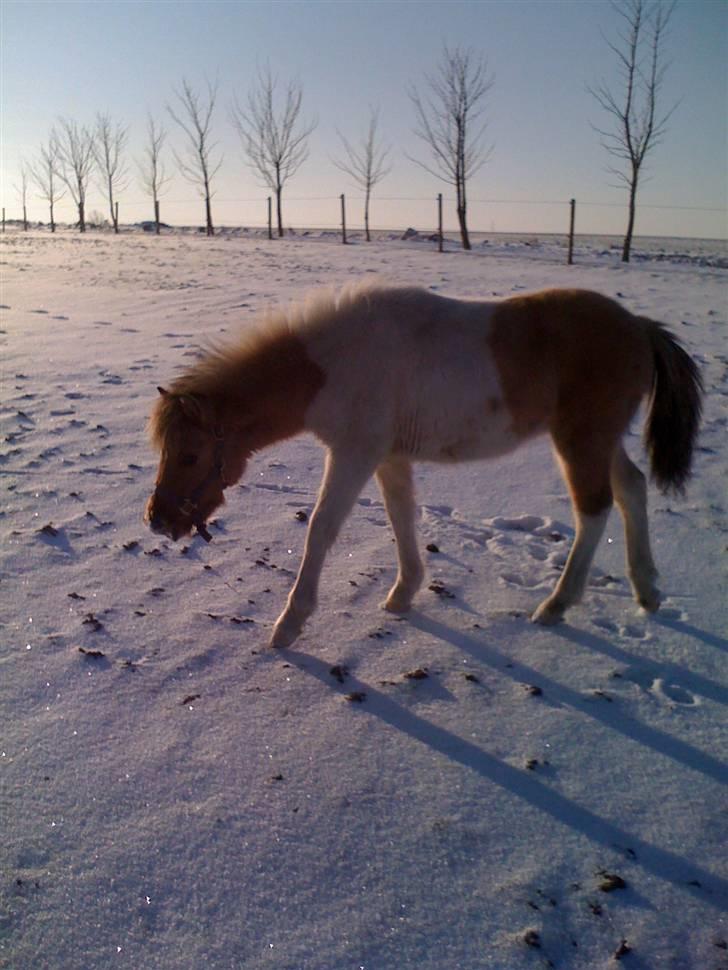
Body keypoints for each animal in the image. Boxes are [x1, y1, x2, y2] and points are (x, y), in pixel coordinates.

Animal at [146, 284, 700, 648]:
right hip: (602, 441)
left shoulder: (354, 454)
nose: (156, 519)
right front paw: (403, 593)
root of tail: (639, 327)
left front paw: (290, 623)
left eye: (190, 454)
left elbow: (321, 529)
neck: (334, 363)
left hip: (580, 440)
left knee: (594, 510)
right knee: (631, 489)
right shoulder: (389, 457)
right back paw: (646, 590)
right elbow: (400, 517)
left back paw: (557, 605)